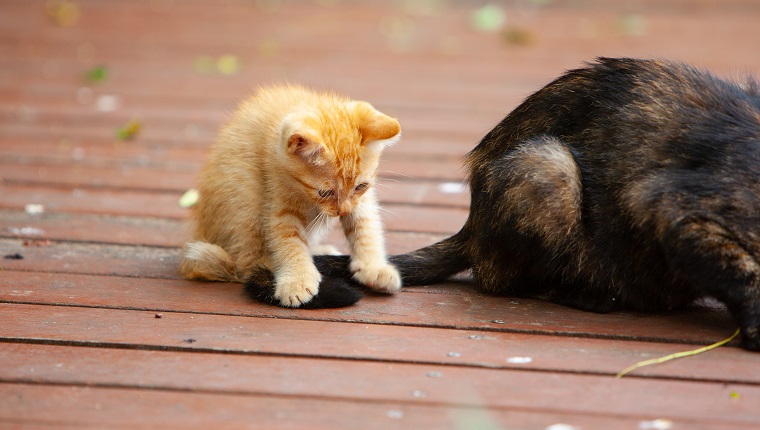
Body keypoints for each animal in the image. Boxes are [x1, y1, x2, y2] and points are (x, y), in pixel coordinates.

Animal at [180, 85, 400, 306]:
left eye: (361, 186)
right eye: (325, 192)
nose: (343, 211)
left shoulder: (361, 202)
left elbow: (365, 226)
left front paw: (374, 267)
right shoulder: (279, 204)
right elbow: (289, 242)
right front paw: (297, 280)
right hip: (245, 198)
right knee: (246, 263)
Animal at [249, 57, 760, 352]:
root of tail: (472, 223)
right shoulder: (672, 207)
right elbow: (742, 271)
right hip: (547, 167)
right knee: (504, 281)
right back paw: (592, 294)